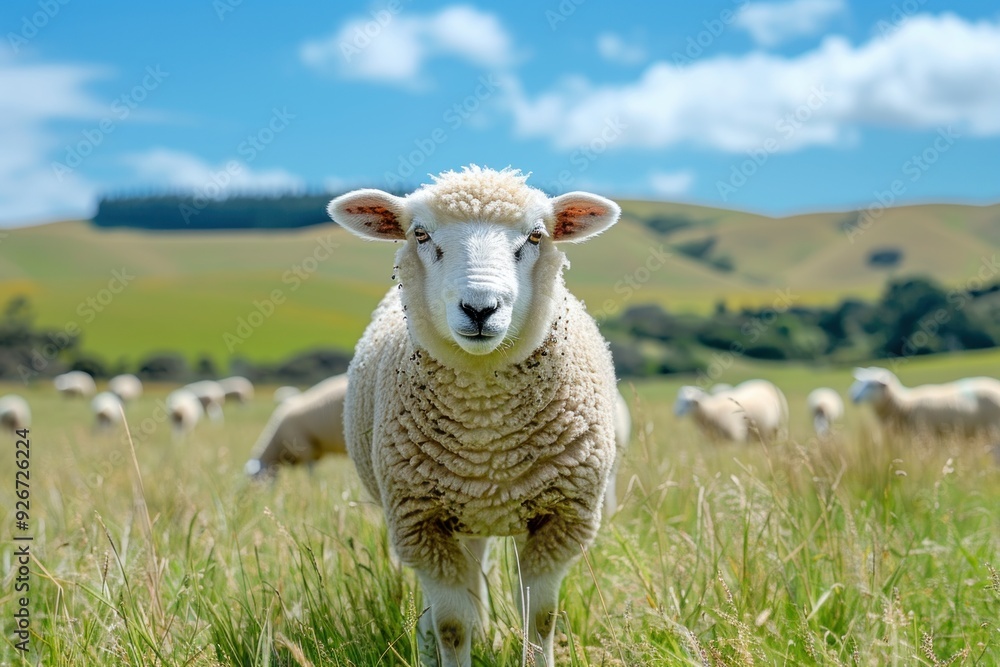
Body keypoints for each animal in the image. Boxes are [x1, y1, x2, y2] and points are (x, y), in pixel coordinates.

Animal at [329, 166, 622, 667]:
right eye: (420, 234)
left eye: (536, 235)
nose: (480, 308)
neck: (487, 427)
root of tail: (488, 484)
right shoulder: (420, 523)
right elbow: (451, 626)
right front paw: (453, 642)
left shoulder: (562, 518)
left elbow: (540, 620)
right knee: (443, 610)